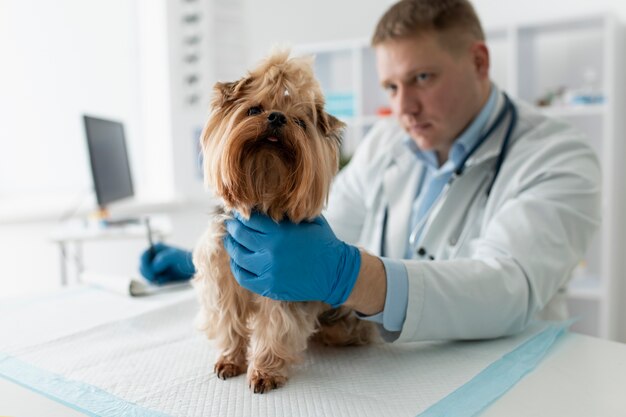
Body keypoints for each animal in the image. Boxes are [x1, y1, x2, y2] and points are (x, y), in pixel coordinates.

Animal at [190, 50, 376, 392]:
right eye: (254, 109)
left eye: (300, 121)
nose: (277, 117)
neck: (263, 198)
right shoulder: (221, 273)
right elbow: (228, 319)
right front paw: (230, 360)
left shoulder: (283, 280)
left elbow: (276, 324)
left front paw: (265, 371)